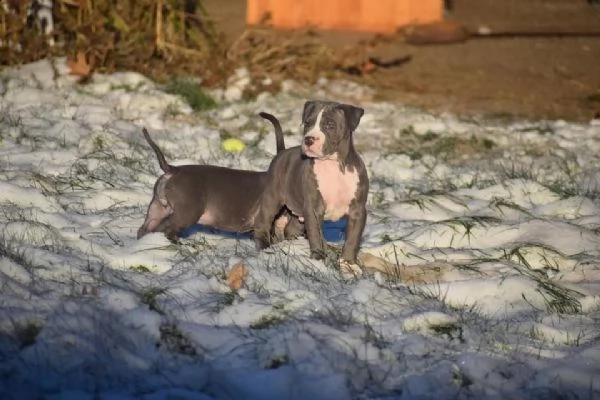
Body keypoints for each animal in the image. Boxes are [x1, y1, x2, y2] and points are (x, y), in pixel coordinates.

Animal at [252, 101, 366, 276]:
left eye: (330, 124)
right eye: (307, 123)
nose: (308, 139)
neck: (332, 164)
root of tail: (282, 152)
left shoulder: (358, 211)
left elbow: (353, 239)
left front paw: (348, 264)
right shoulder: (313, 209)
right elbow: (316, 236)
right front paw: (318, 260)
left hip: (298, 212)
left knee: (291, 228)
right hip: (272, 199)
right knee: (263, 223)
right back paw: (264, 249)